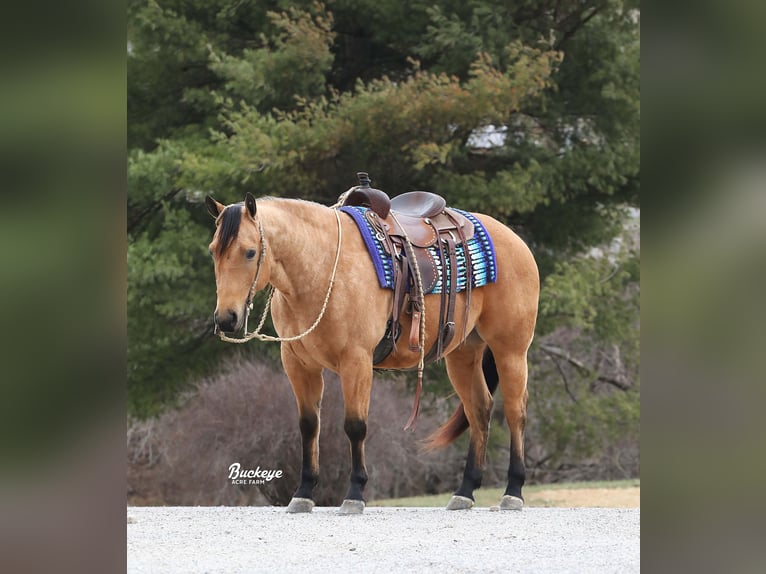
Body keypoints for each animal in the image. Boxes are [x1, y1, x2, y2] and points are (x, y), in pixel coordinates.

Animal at [204, 177, 540, 516]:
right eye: (214, 251)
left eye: (249, 252)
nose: (226, 318)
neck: (322, 268)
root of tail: (514, 240)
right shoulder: (299, 365)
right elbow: (309, 425)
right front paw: (303, 494)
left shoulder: (357, 362)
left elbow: (355, 426)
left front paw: (354, 494)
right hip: (462, 354)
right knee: (479, 409)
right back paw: (465, 492)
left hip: (510, 350)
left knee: (516, 411)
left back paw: (513, 491)